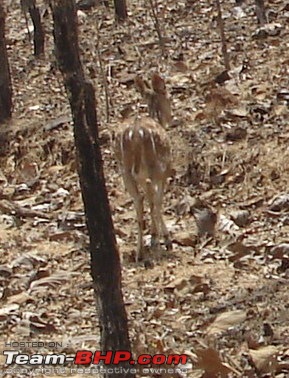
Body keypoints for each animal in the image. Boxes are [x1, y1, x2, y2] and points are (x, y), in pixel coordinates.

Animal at [115, 72, 172, 262]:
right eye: (168, 96)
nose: (170, 117)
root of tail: (135, 134)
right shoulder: (164, 172)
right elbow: (158, 200)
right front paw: (164, 239)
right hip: (154, 168)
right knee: (151, 199)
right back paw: (155, 244)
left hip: (125, 171)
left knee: (138, 201)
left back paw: (140, 251)